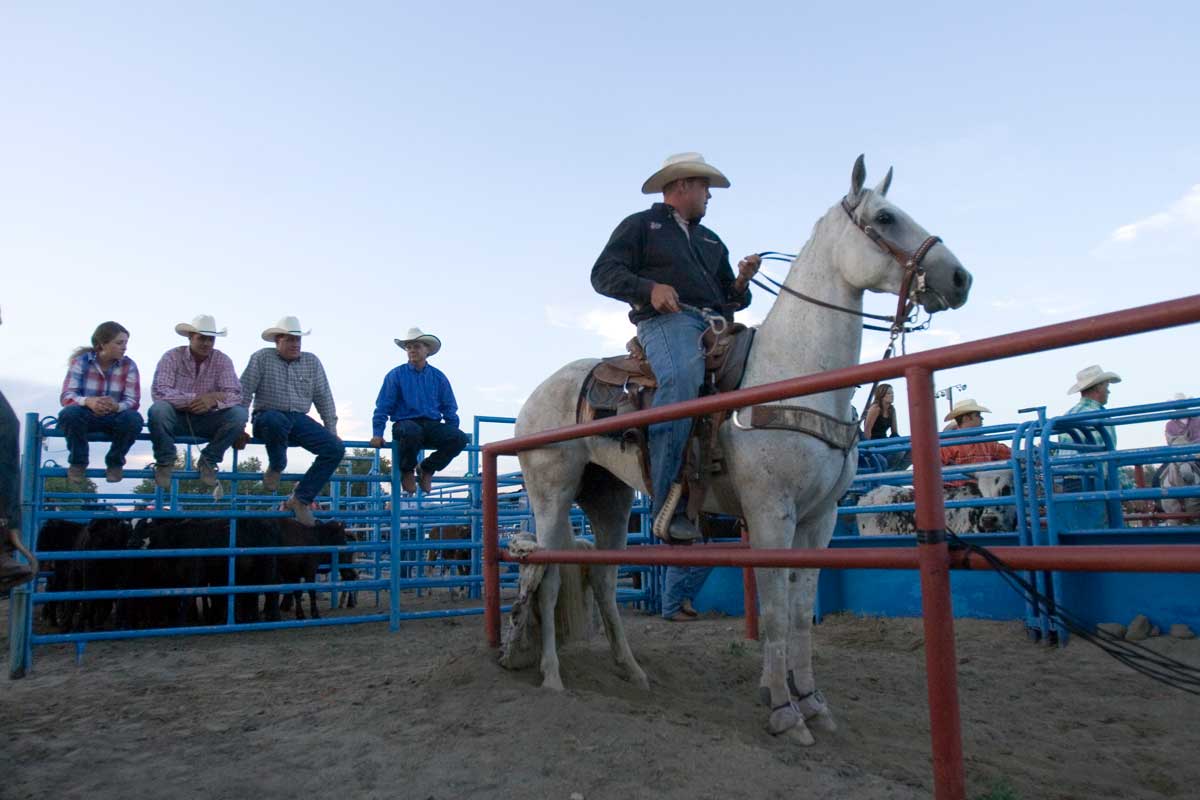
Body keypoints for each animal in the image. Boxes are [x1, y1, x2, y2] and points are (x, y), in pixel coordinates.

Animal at [511, 155, 972, 744]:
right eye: (886, 217)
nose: (960, 278)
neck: (793, 376)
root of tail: (535, 397)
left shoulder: (820, 519)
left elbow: (799, 611)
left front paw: (813, 702)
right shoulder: (772, 514)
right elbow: (774, 611)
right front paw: (782, 708)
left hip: (608, 498)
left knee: (607, 582)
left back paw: (632, 671)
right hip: (552, 494)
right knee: (547, 580)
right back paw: (552, 677)